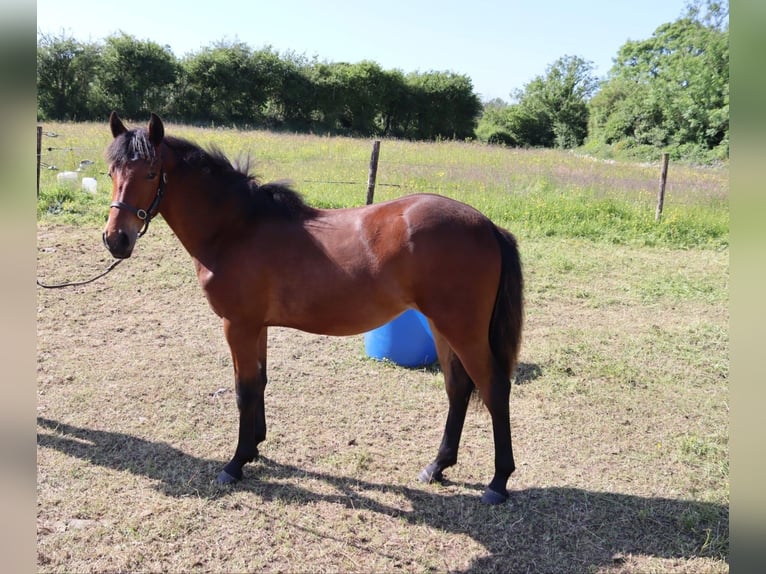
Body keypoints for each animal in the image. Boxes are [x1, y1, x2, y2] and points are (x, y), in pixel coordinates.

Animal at [102, 111, 524, 504]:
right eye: (112, 171)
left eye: (151, 172)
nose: (116, 239)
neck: (236, 228)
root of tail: (488, 225)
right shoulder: (257, 327)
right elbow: (260, 383)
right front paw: (256, 447)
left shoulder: (237, 325)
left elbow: (244, 389)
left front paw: (236, 463)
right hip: (441, 326)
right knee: (458, 387)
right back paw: (437, 466)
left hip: (462, 329)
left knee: (493, 387)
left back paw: (498, 482)